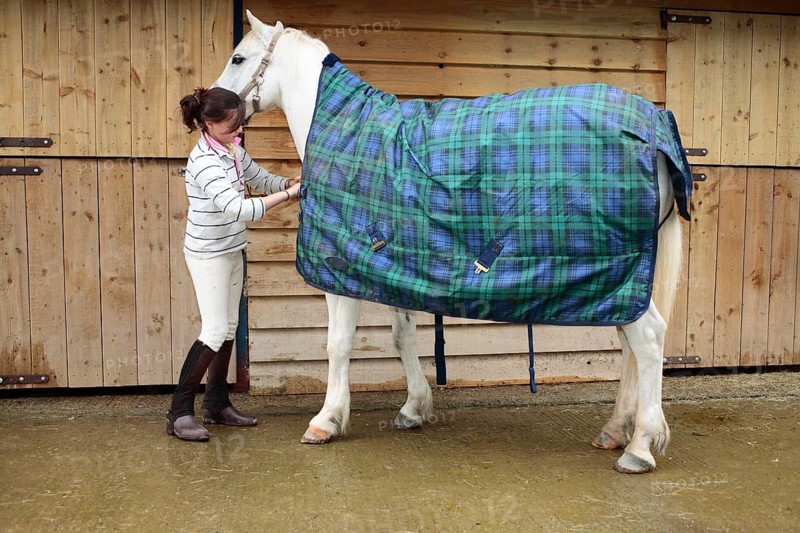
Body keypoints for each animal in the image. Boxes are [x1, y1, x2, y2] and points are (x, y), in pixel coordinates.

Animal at [213, 10, 688, 474]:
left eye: (238, 58)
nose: (206, 108)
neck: (344, 130)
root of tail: (653, 125)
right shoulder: (391, 266)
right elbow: (402, 336)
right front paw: (413, 408)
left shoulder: (339, 268)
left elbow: (337, 344)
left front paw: (325, 421)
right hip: (621, 281)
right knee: (631, 344)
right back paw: (615, 430)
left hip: (620, 275)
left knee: (648, 339)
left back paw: (639, 447)